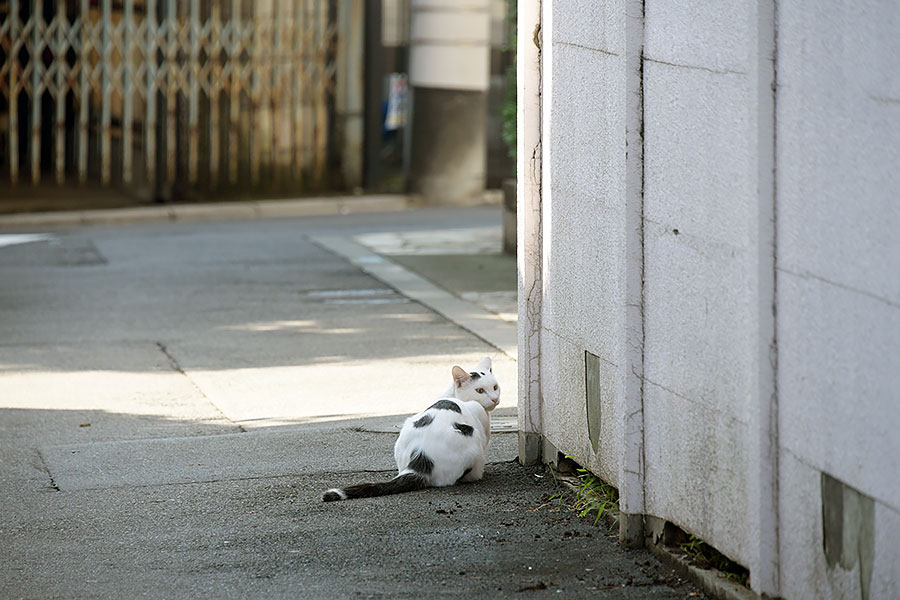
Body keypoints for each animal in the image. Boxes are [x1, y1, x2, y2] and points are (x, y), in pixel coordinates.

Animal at [322, 356, 502, 502]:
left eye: (495, 387)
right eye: (479, 390)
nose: (495, 399)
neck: (453, 396)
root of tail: (420, 460)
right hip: (473, 446)